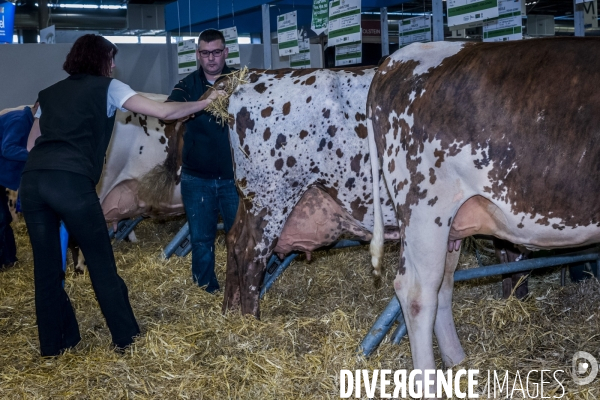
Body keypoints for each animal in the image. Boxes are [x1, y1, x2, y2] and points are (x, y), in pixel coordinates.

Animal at [223, 67, 400, 318]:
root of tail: (249, 76)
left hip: (247, 198)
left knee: (232, 241)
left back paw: (228, 312)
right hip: (270, 199)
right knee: (250, 256)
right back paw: (250, 320)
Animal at [366, 37, 600, 372]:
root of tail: (397, 58)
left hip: (451, 223)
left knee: (443, 285)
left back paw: (457, 362)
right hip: (423, 207)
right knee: (416, 293)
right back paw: (430, 378)